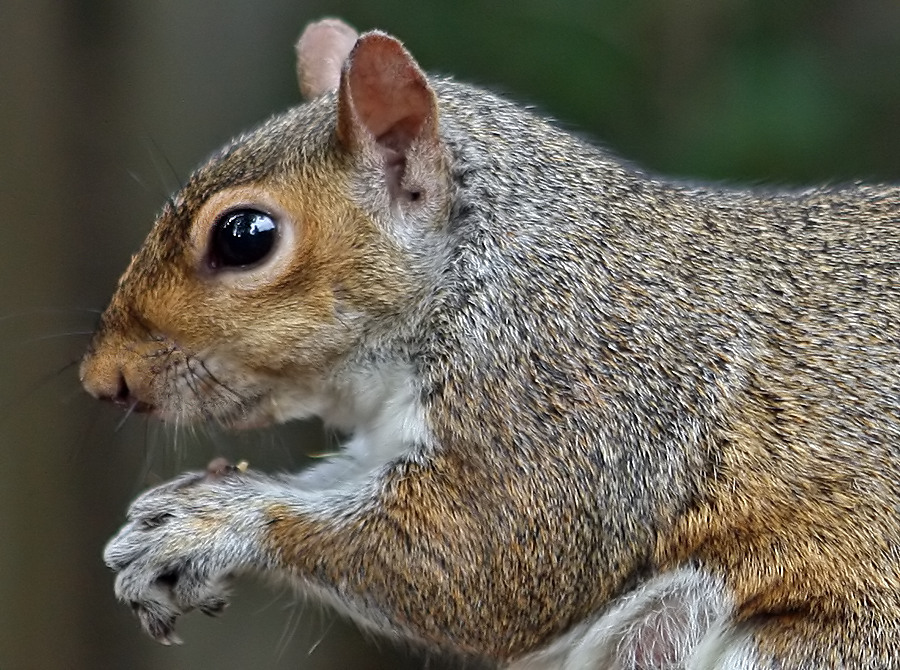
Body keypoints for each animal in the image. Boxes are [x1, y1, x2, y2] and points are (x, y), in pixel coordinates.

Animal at [79, 17, 900, 670]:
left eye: (243, 236)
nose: (100, 380)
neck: (481, 274)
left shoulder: (575, 398)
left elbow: (476, 562)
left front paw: (214, 524)